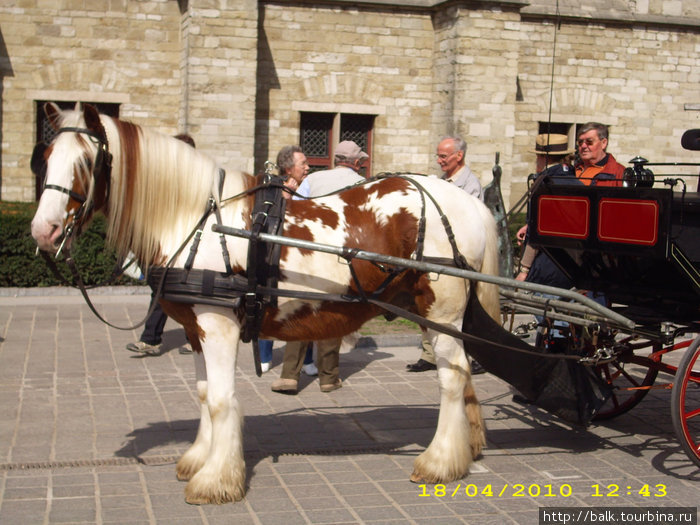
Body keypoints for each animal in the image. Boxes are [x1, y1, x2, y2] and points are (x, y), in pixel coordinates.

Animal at [30, 102, 500, 504]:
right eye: (46, 156)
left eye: (87, 162)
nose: (43, 231)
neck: (197, 219)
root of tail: (467, 202)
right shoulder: (195, 329)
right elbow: (204, 394)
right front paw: (199, 459)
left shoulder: (218, 325)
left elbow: (221, 400)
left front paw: (216, 480)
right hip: (425, 312)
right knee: (462, 369)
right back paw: (469, 446)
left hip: (441, 309)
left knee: (452, 377)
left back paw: (439, 461)